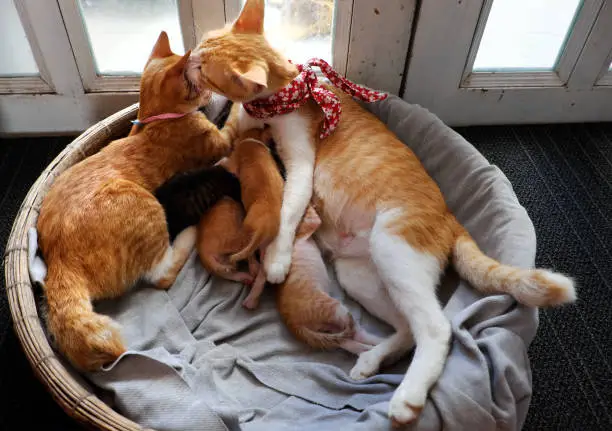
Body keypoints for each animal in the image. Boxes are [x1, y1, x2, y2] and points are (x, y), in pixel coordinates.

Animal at [36, 32, 239, 372]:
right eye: (199, 81)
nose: (211, 86)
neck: (155, 119)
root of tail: (59, 261)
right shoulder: (221, 141)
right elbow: (232, 120)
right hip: (146, 208)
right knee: (161, 276)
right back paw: (189, 235)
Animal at [188, 0, 580, 426]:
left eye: (205, 65)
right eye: (204, 43)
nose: (188, 58)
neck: (283, 94)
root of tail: (449, 216)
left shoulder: (302, 165)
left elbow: (288, 209)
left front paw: (277, 259)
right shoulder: (239, 132)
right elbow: (226, 142)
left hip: (394, 250)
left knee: (437, 328)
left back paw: (408, 397)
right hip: (361, 274)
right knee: (408, 328)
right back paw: (372, 360)